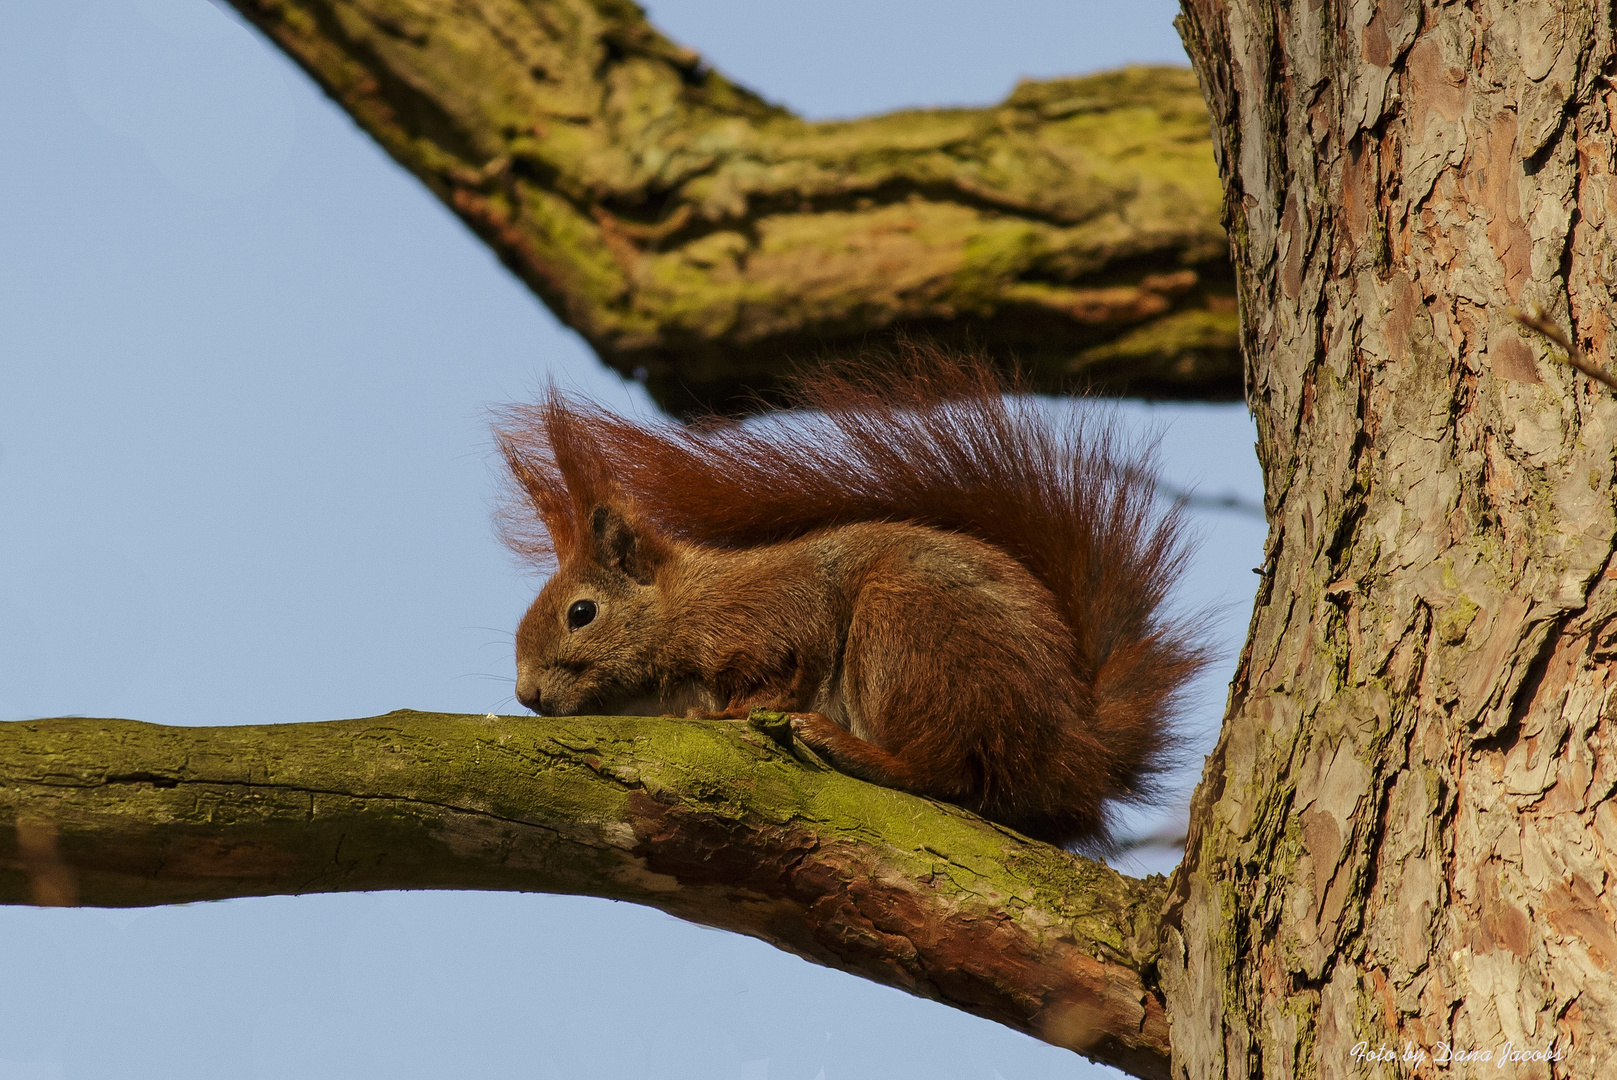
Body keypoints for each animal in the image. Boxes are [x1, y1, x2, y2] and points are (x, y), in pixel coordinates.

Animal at [491, 350, 1203, 847]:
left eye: (581, 613)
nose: (526, 693)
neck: (687, 603)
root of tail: (1078, 749)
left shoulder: (771, 616)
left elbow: (785, 666)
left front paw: (729, 715)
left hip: (909, 629)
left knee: (944, 770)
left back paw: (844, 744)